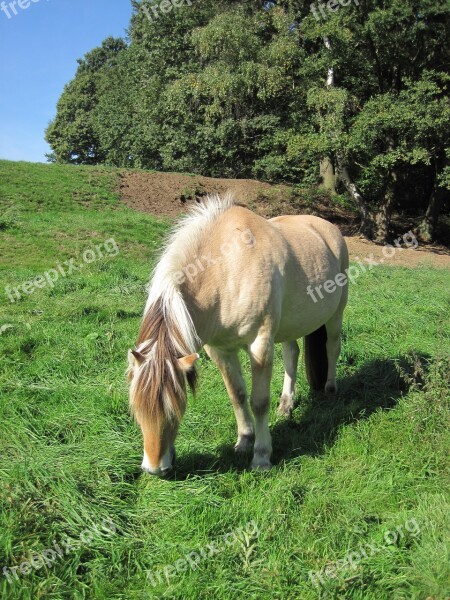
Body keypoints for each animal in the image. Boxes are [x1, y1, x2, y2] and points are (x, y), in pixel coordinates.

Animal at [128, 195, 350, 476]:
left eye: (175, 407)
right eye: (136, 408)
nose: (155, 468)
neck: (226, 268)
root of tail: (328, 227)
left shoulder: (260, 345)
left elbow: (259, 402)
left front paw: (261, 457)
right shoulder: (220, 350)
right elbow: (237, 394)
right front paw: (244, 440)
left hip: (336, 314)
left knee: (332, 347)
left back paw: (330, 388)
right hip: (291, 324)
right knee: (292, 355)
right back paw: (286, 404)